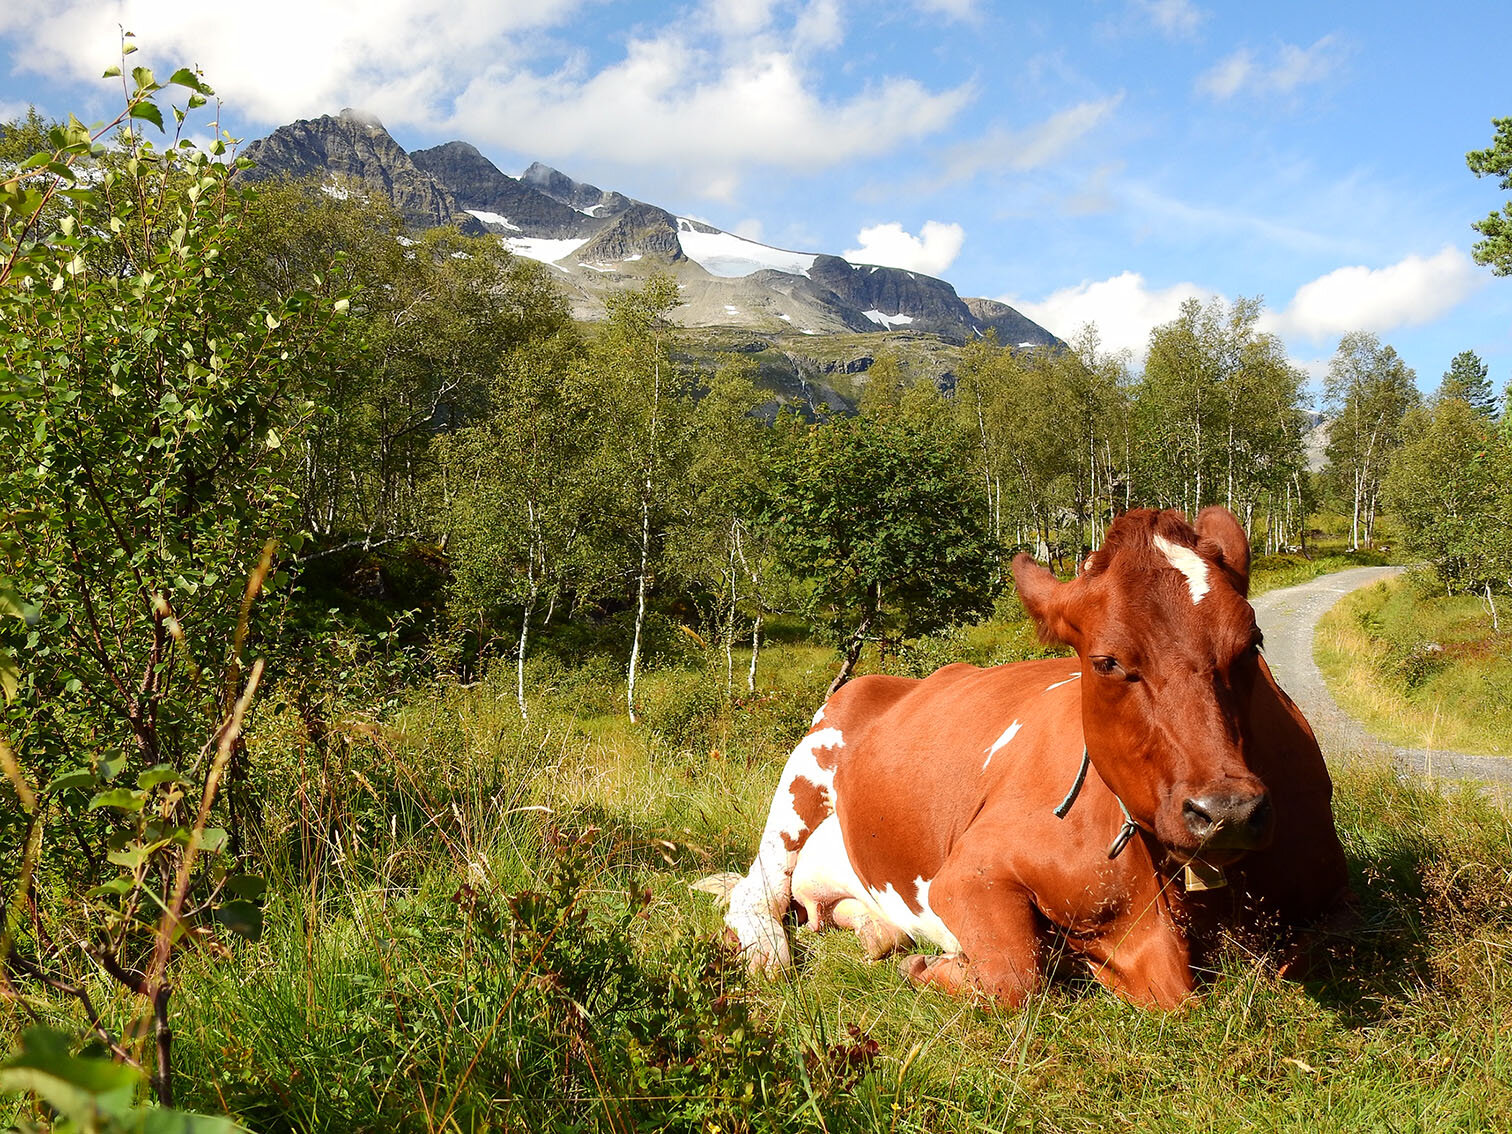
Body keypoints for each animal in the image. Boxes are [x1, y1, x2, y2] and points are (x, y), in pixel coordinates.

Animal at [701, 511, 1354, 1010]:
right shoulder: (970, 871)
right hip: (798, 786)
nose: (1227, 810)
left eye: (1251, 644)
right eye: (1106, 662)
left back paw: (876, 931)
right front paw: (936, 969)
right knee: (757, 893)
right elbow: (1017, 978)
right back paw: (768, 953)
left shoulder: (1326, 901)